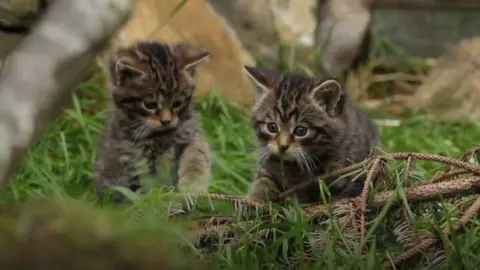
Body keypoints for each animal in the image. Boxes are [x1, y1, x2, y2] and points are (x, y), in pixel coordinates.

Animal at [94, 40, 211, 202]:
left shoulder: (191, 133)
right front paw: (153, 201)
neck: (160, 135)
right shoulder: (131, 159)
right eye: (150, 104)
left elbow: (197, 153)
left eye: (177, 103)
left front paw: (193, 184)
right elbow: (143, 189)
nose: (166, 120)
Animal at [244, 66, 382, 204]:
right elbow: (263, 181)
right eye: (272, 127)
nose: (282, 146)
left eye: (301, 131)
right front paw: (252, 200)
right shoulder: (267, 165)